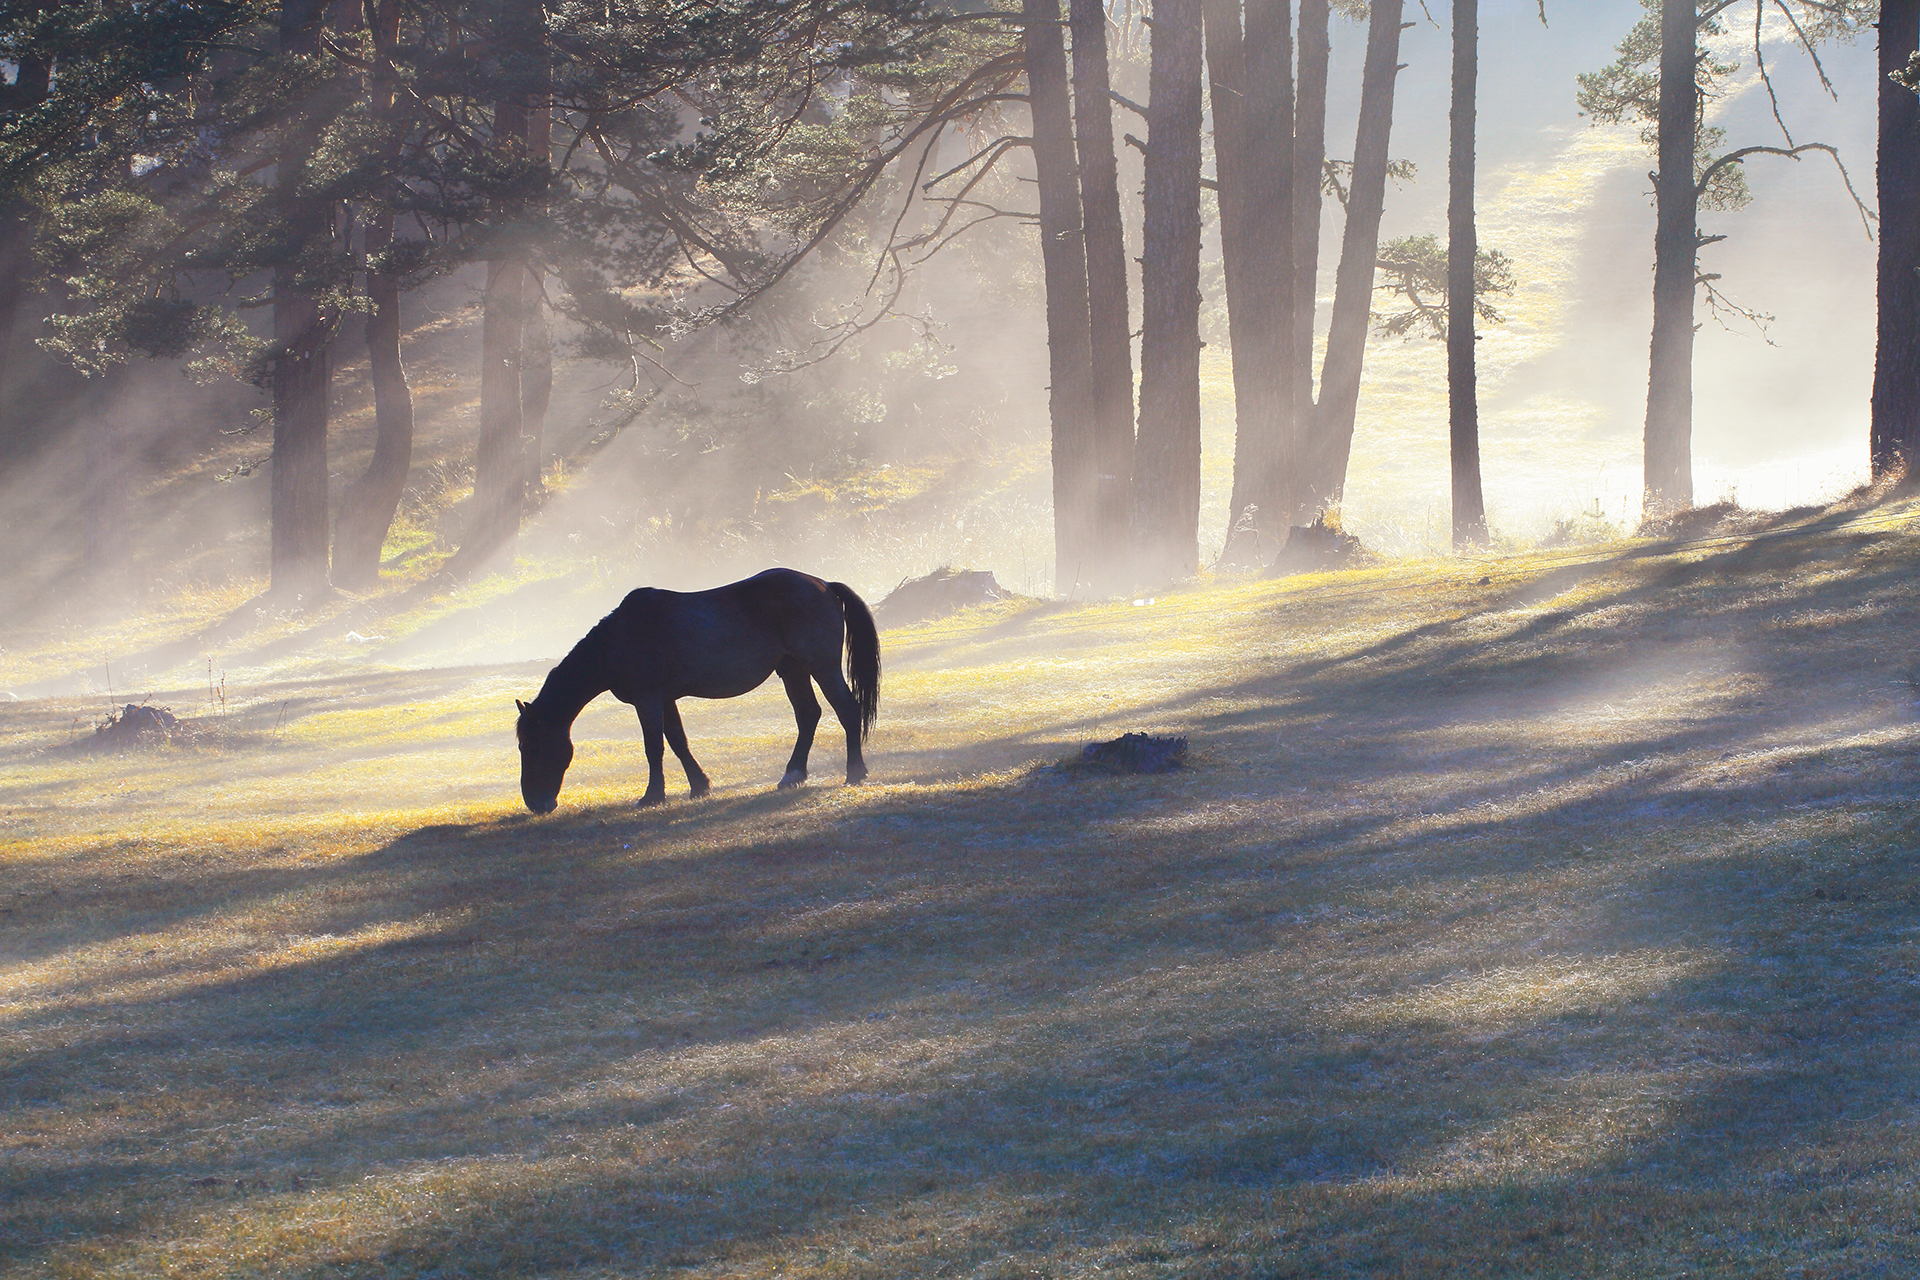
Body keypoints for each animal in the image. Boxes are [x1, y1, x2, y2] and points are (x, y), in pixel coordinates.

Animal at [514, 568, 879, 809]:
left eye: (531, 746)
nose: (535, 803)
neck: (618, 640)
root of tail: (824, 585)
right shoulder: (665, 700)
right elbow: (678, 741)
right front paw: (700, 786)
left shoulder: (648, 700)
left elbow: (654, 747)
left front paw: (652, 796)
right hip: (793, 670)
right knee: (808, 715)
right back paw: (793, 774)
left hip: (822, 667)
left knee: (847, 710)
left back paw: (854, 772)